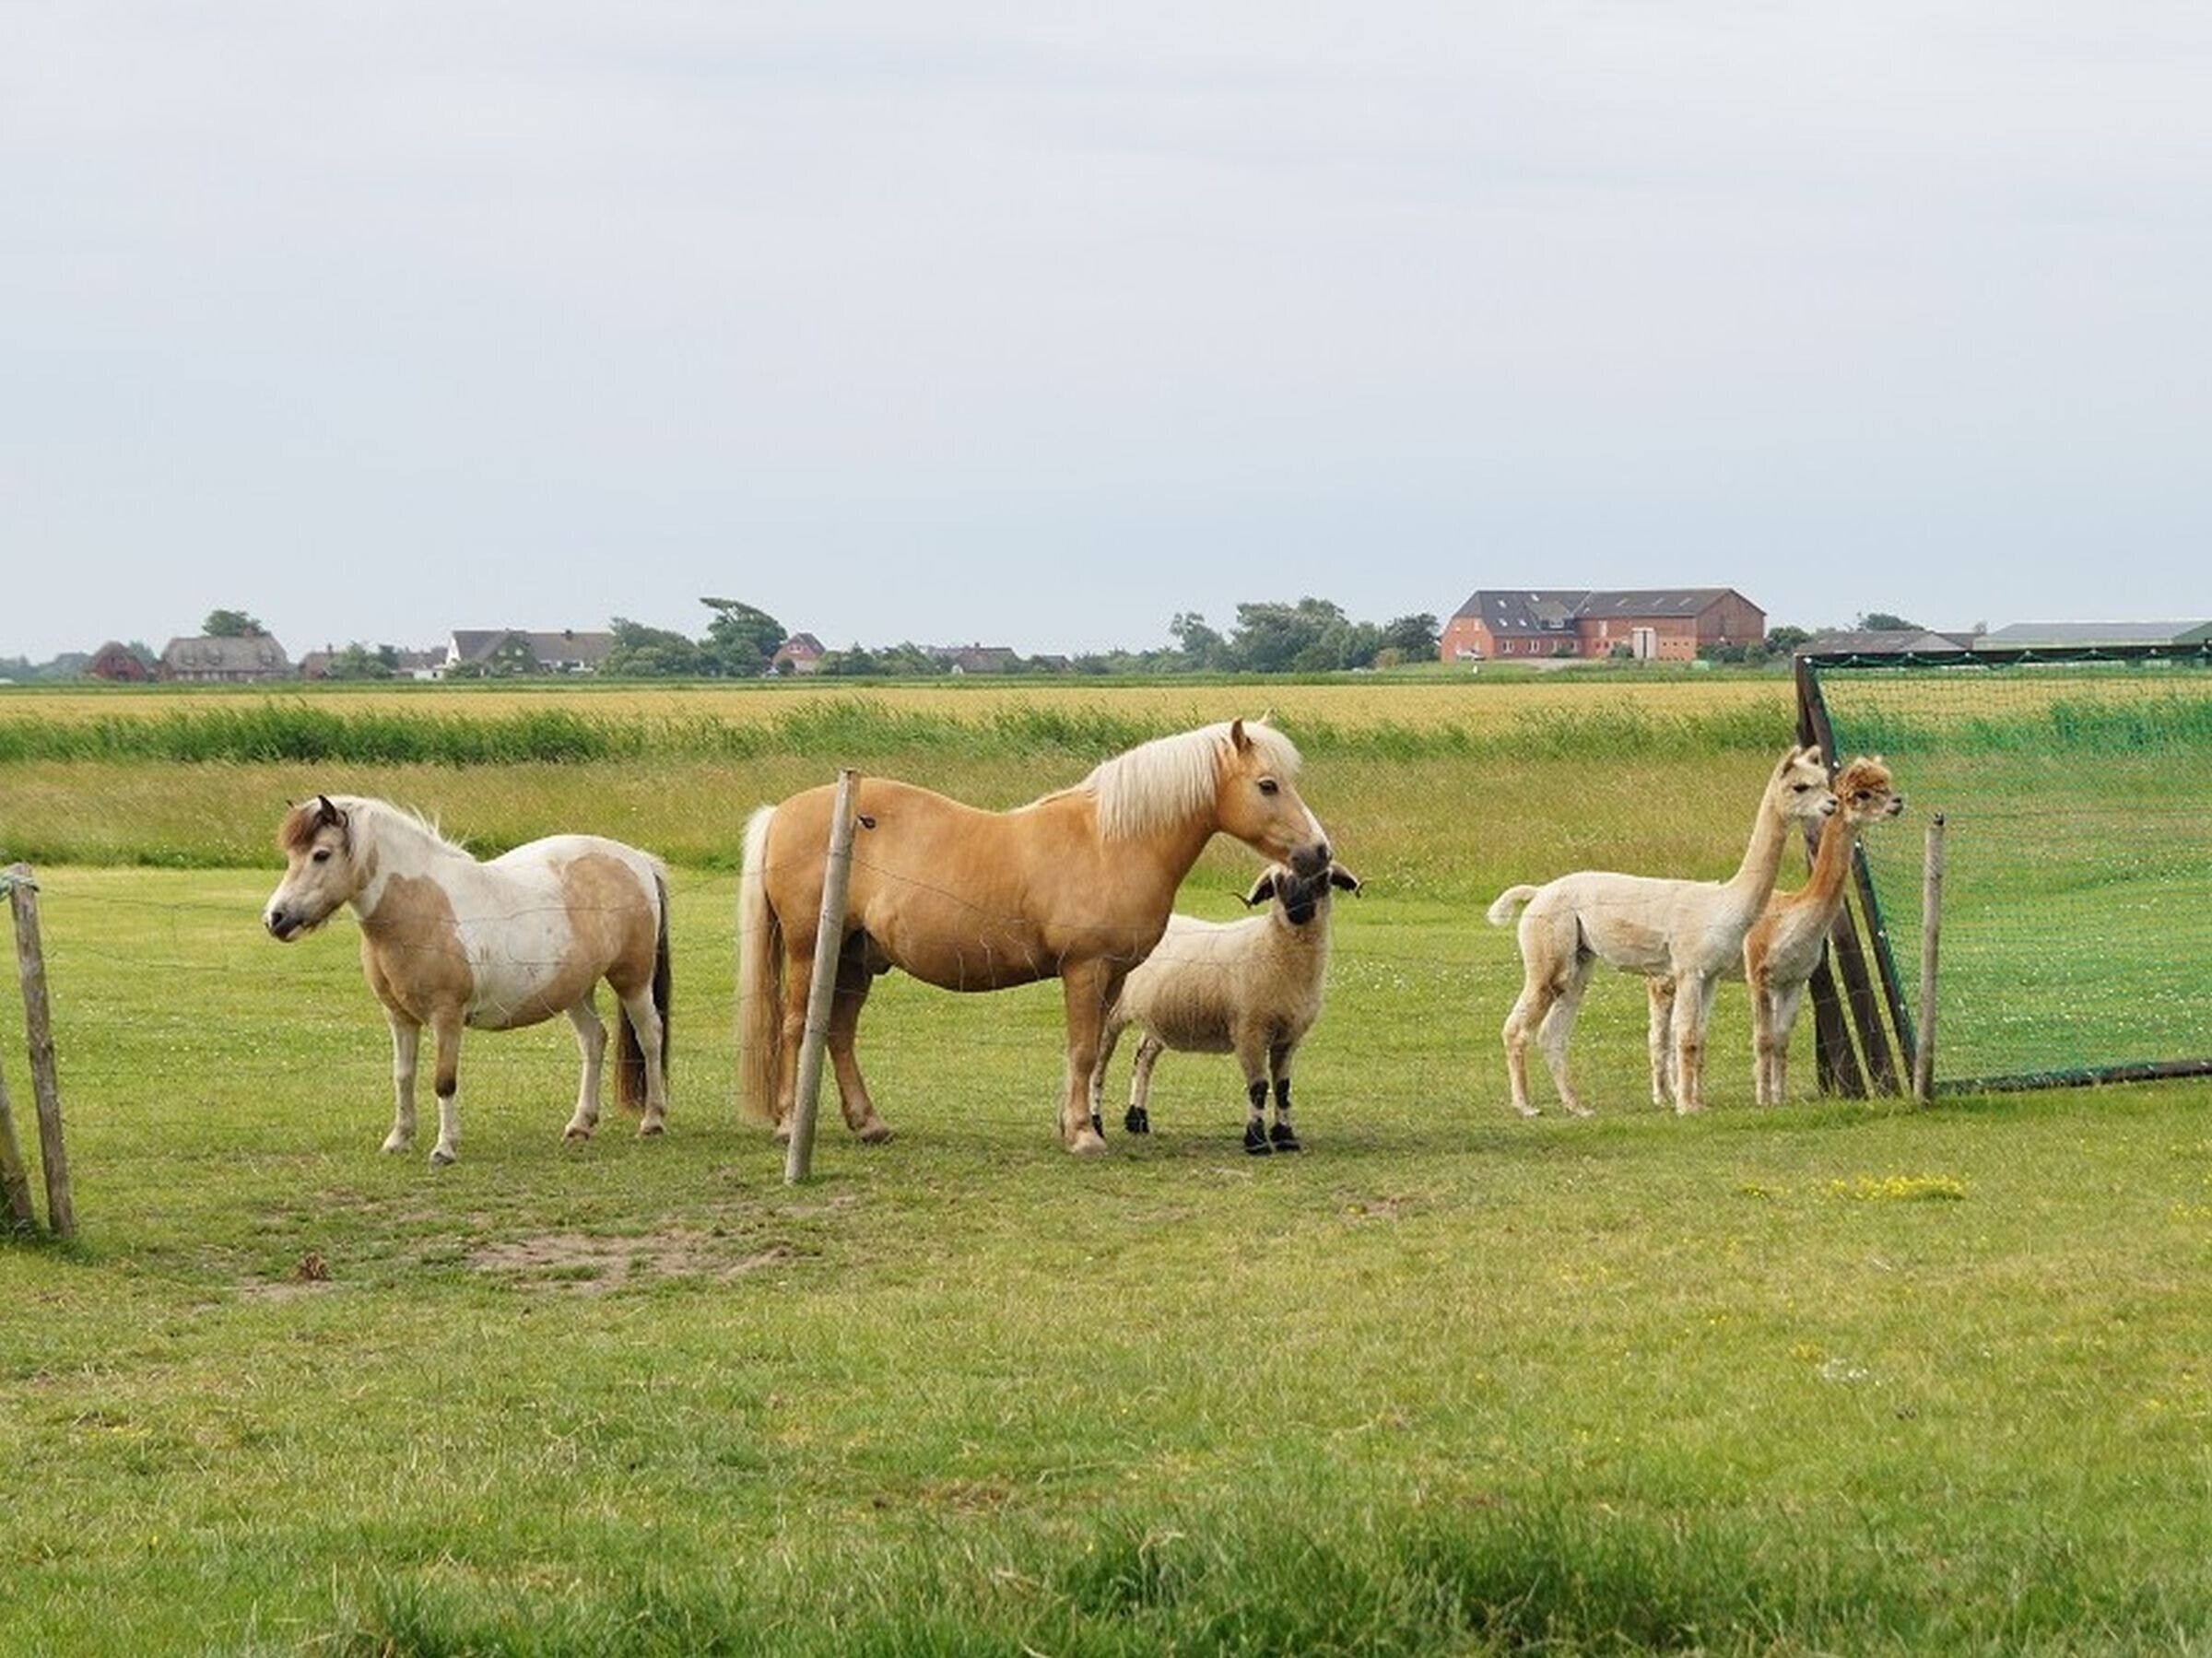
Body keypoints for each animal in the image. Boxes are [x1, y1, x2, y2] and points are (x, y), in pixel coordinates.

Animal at [262, 795, 672, 1165]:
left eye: (321, 854)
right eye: (292, 856)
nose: (275, 918)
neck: (422, 906)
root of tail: (637, 860)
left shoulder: (447, 1016)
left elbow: (444, 1080)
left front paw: (444, 1148)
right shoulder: (399, 1017)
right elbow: (403, 1075)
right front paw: (399, 1139)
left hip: (632, 980)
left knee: (650, 1036)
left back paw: (652, 1120)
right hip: (576, 989)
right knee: (593, 1040)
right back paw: (580, 1125)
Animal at [737, 718, 1333, 1155]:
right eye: (1268, 785)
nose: (1320, 852)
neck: (1111, 842)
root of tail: (782, 812)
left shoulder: (1112, 977)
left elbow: (1087, 1054)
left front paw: (1074, 1124)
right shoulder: (1085, 969)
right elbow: (1084, 1050)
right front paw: (1084, 1136)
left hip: (855, 959)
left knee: (838, 1034)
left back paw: (869, 1124)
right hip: (808, 951)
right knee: (796, 1028)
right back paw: (789, 1124)